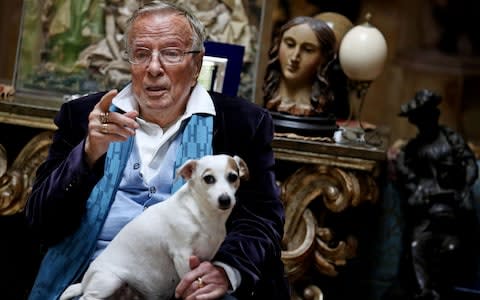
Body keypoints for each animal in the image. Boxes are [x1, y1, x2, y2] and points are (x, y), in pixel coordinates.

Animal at [60, 154, 249, 298]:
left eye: (233, 177)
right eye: (208, 179)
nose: (225, 199)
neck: (203, 214)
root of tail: (84, 282)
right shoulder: (182, 256)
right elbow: (190, 283)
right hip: (108, 281)